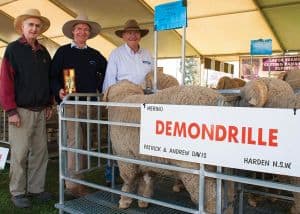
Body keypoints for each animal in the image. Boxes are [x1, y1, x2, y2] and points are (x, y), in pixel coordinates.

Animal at [103, 79, 234, 213]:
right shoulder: (146, 158)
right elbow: (147, 180)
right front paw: (144, 200)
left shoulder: (125, 156)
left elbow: (129, 180)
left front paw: (124, 200)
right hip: (224, 168)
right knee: (229, 197)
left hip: (194, 168)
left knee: (211, 199)